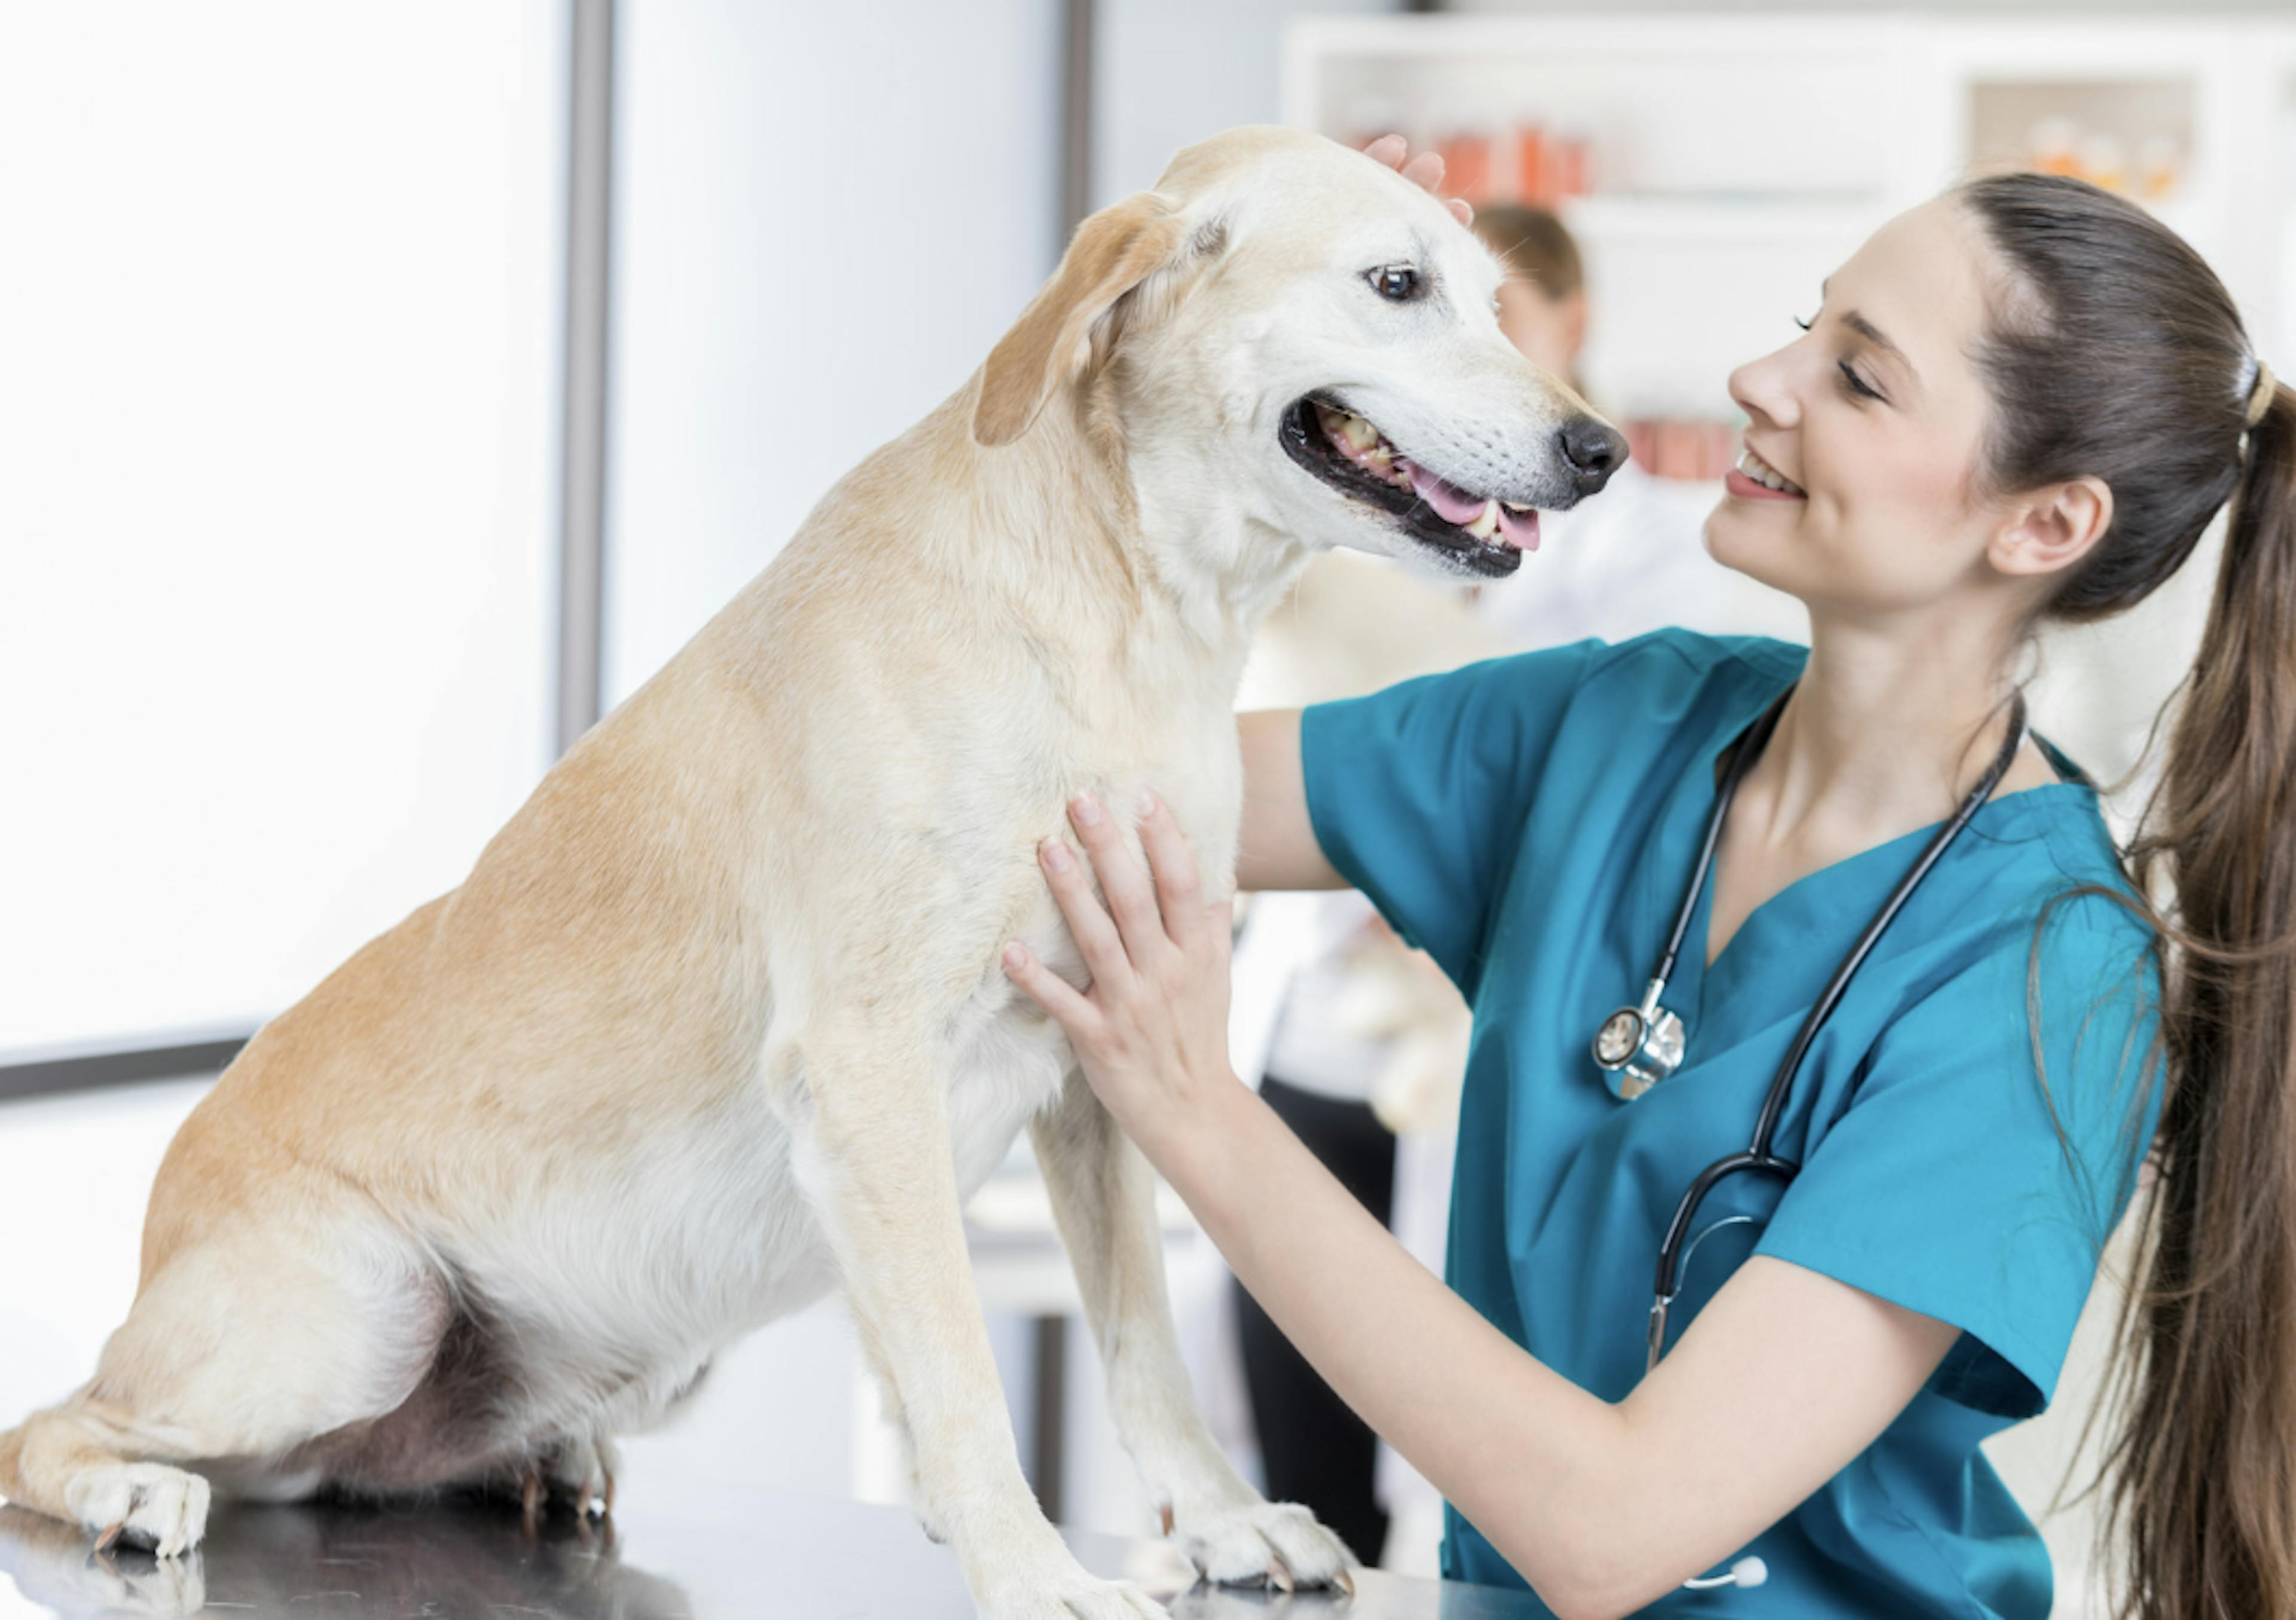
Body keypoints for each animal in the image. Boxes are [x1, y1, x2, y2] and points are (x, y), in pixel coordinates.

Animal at [0, 129, 1616, 1615]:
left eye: (1491, 297)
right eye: (1397, 286)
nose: (1599, 452)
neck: (1122, 623)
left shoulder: (1107, 1064)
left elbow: (1141, 1334)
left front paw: (1218, 1519)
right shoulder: (870, 1068)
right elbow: (962, 1373)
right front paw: (1034, 1569)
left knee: (339, 1463)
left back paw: (537, 1456)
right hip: (347, 1315)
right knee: (60, 1427)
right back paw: (133, 1490)